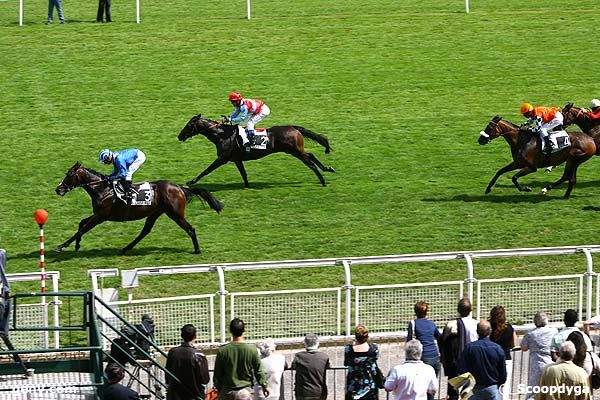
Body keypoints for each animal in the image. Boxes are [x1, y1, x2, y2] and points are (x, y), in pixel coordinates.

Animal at [53, 162, 223, 253]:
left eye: (69, 175)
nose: (58, 189)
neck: (102, 189)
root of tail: (180, 187)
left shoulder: (101, 216)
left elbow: (82, 228)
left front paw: (61, 246)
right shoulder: (99, 214)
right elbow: (81, 223)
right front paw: (77, 245)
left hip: (175, 214)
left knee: (190, 229)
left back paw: (197, 250)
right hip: (155, 213)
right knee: (145, 231)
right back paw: (126, 248)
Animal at [178, 113, 336, 187]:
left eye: (188, 125)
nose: (179, 136)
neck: (222, 135)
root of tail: (293, 127)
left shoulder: (222, 159)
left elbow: (206, 171)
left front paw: (191, 182)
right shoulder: (236, 159)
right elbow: (244, 174)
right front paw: (248, 186)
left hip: (295, 151)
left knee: (310, 163)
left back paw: (323, 180)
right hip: (295, 150)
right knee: (311, 154)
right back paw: (328, 169)